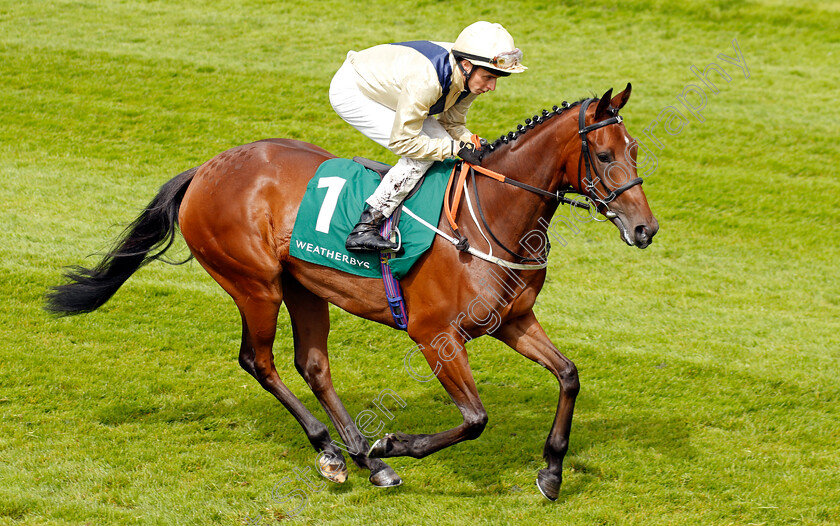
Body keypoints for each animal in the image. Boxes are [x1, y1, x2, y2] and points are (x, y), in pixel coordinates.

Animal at [47, 84, 656, 502]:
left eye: (633, 149)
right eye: (605, 156)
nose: (645, 229)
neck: (491, 218)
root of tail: (206, 168)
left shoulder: (512, 321)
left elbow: (569, 375)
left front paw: (551, 471)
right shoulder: (434, 335)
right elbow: (475, 418)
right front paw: (396, 444)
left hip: (303, 286)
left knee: (312, 364)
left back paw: (363, 458)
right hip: (255, 284)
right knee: (259, 360)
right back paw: (336, 452)